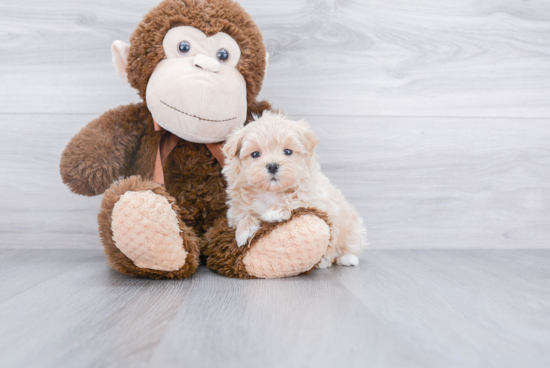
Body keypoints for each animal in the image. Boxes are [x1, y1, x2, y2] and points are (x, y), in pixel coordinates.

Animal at [222, 112, 368, 268]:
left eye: (287, 151)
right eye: (255, 154)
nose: (272, 166)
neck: (271, 192)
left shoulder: (314, 198)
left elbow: (296, 198)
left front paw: (275, 212)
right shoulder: (235, 207)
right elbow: (243, 213)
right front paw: (245, 230)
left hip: (352, 227)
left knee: (347, 245)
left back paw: (342, 258)